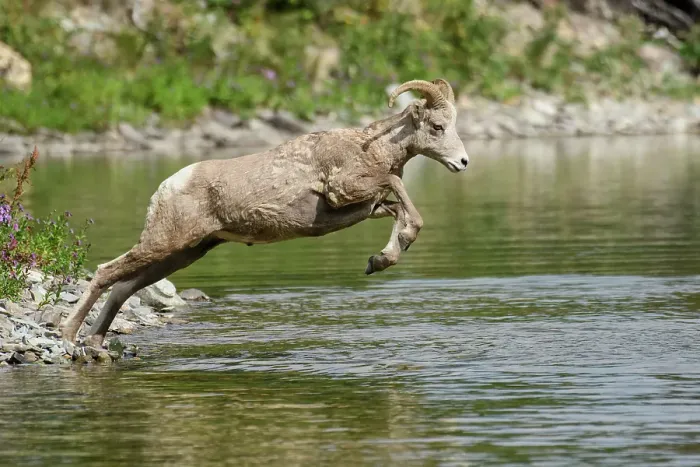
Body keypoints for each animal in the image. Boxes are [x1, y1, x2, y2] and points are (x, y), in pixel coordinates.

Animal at [59, 78, 470, 346]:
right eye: (437, 126)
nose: (463, 162)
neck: (371, 147)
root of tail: (167, 186)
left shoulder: (368, 205)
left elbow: (401, 211)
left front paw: (380, 259)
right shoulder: (344, 192)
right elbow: (398, 188)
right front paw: (385, 254)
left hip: (183, 253)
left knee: (123, 286)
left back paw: (95, 346)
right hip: (163, 243)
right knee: (105, 273)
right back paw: (68, 336)